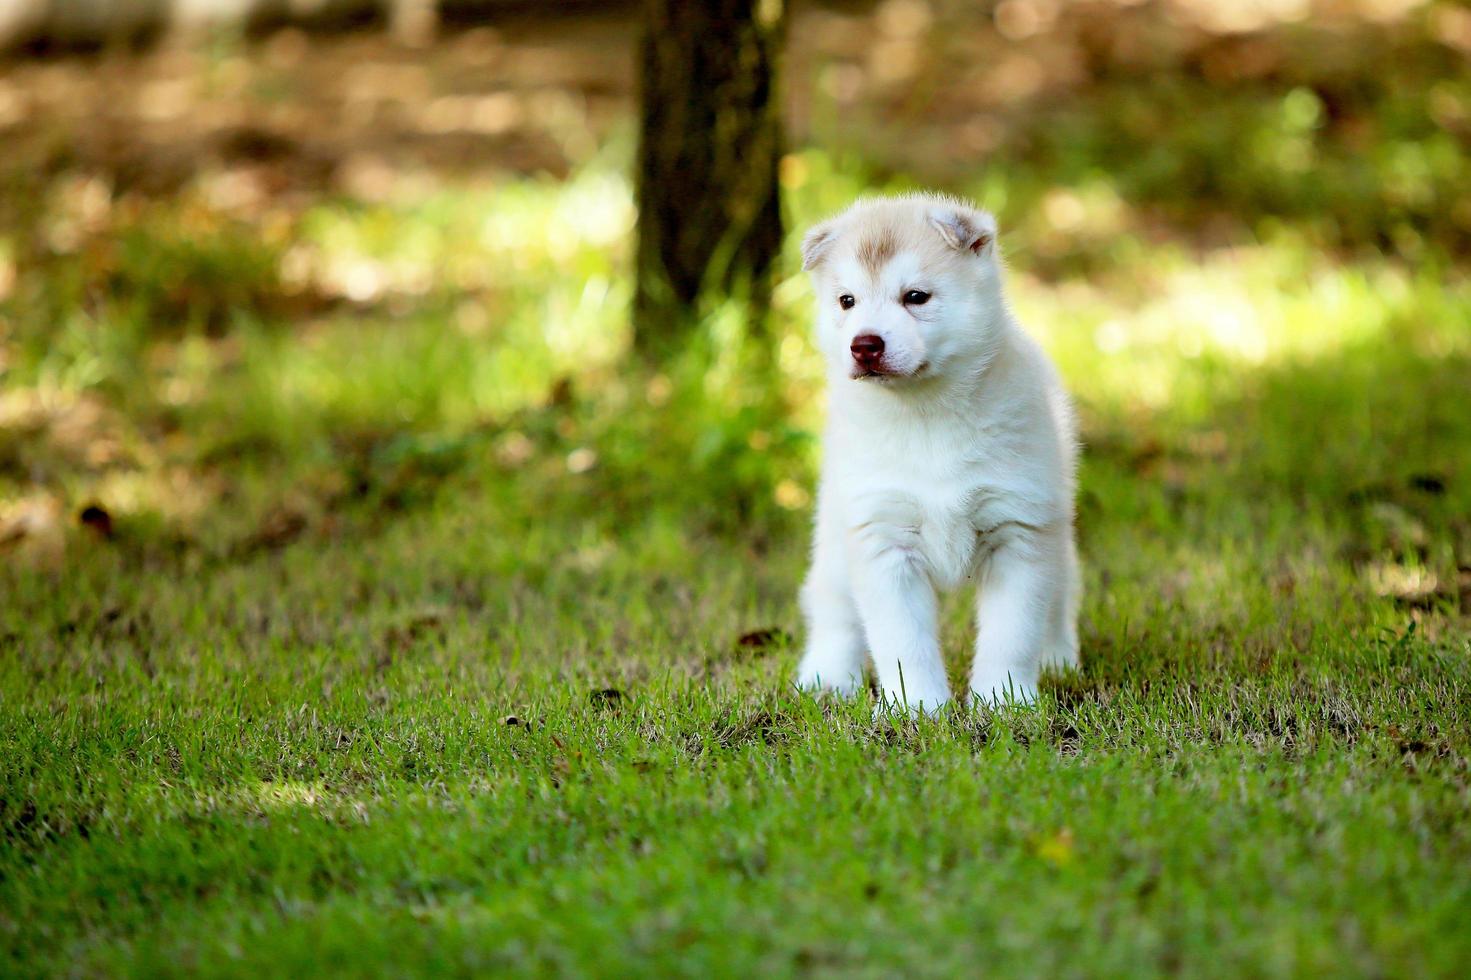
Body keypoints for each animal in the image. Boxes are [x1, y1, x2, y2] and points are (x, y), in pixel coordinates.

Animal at [794, 192, 1082, 709]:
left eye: (916, 297)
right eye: (847, 300)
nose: (864, 345)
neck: (926, 416)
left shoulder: (1019, 533)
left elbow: (1011, 636)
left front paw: (1004, 703)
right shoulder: (883, 539)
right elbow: (903, 642)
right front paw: (916, 707)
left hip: (1057, 537)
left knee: (1060, 598)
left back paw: (1057, 661)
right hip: (834, 539)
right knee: (833, 610)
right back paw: (827, 676)